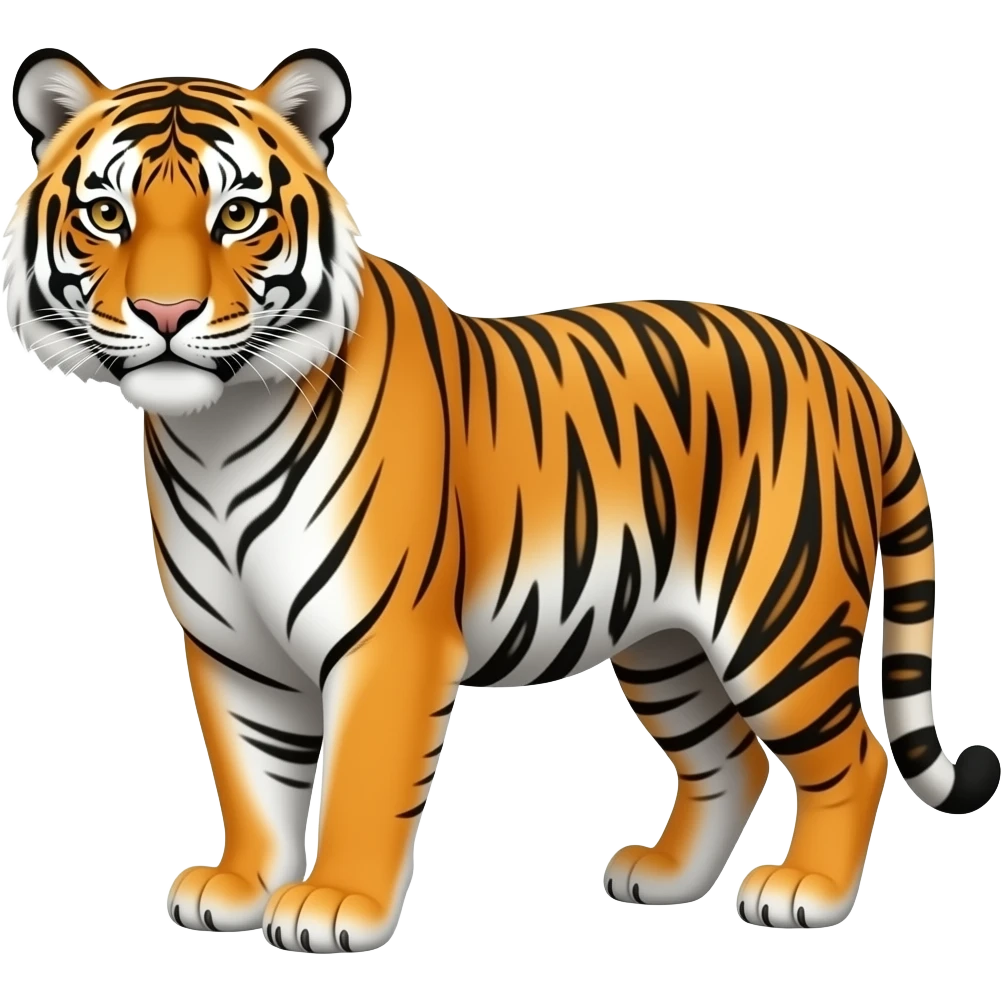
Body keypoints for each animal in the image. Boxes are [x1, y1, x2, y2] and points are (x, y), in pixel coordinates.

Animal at [5, 44, 998, 954]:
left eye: (237, 215)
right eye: (107, 214)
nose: (166, 315)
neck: (214, 432)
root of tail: (850, 370)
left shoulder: (388, 638)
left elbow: (362, 780)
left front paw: (335, 905)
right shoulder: (231, 648)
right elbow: (252, 777)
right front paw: (240, 886)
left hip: (777, 622)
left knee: (854, 756)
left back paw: (806, 893)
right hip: (666, 642)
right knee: (729, 757)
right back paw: (666, 877)